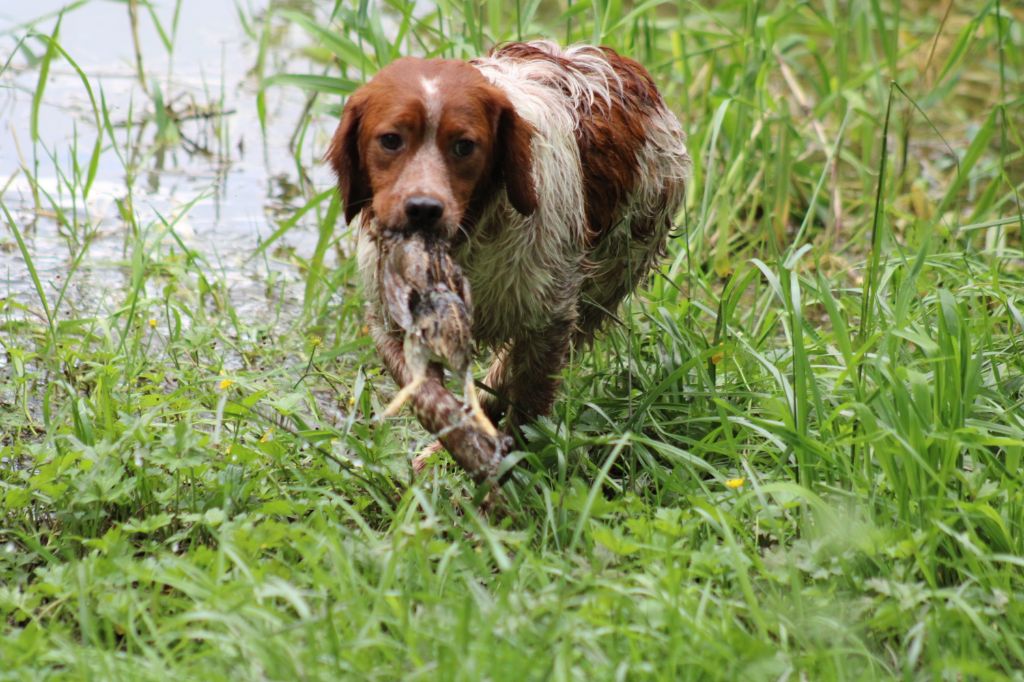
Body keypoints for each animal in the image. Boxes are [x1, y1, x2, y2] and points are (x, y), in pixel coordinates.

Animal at [331, 41, 692, 477]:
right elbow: (432, 400)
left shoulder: (551, 320)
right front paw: (464, 450)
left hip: (605, 283)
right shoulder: (393, 323)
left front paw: (513, 474)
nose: (422, 209)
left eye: (464, 146)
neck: (463, 245)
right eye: (390, 140)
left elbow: (527, 408)